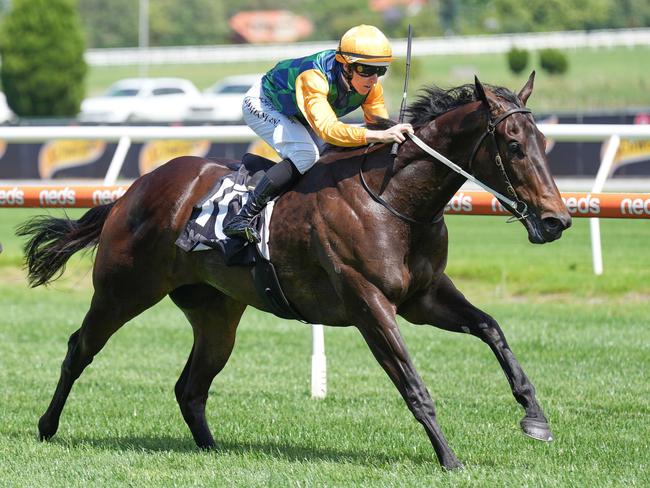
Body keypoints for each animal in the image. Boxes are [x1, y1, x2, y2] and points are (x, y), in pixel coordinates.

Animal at [19, 73, 568, 468]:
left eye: (543, 140)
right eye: (514, 146)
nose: (556, 220)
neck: (394, 200)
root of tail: (130, 192)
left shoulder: (424, 296)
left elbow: (491, 329)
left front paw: (535, 418)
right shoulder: (370, 304)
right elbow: (414, 385)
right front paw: (449, 459)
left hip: (216, 313)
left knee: (190, 386)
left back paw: (212, 449)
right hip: (124, 290)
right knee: (79, 349)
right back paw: (46, 427)